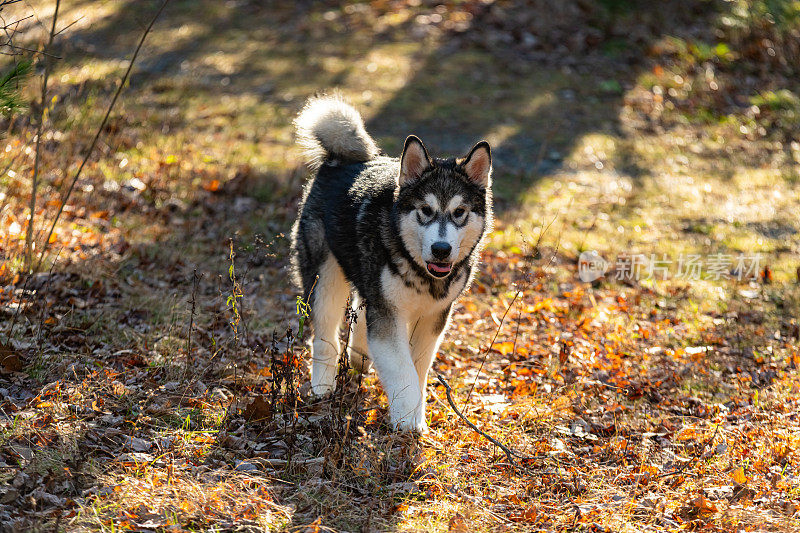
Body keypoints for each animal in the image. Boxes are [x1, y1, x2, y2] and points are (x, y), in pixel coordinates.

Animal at [290, 93, 490, 430]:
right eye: (426, 210)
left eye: (459, 212)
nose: (441, 249)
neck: (420, 270)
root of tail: (341, 160)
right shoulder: (389, 315)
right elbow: (403, 369)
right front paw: (409, 424)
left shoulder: (433, 317)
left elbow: (418, 368)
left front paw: (414, 413)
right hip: (325, 280)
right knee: (325, 336)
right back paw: (322, 386)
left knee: (360, 308)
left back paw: (359, 355)